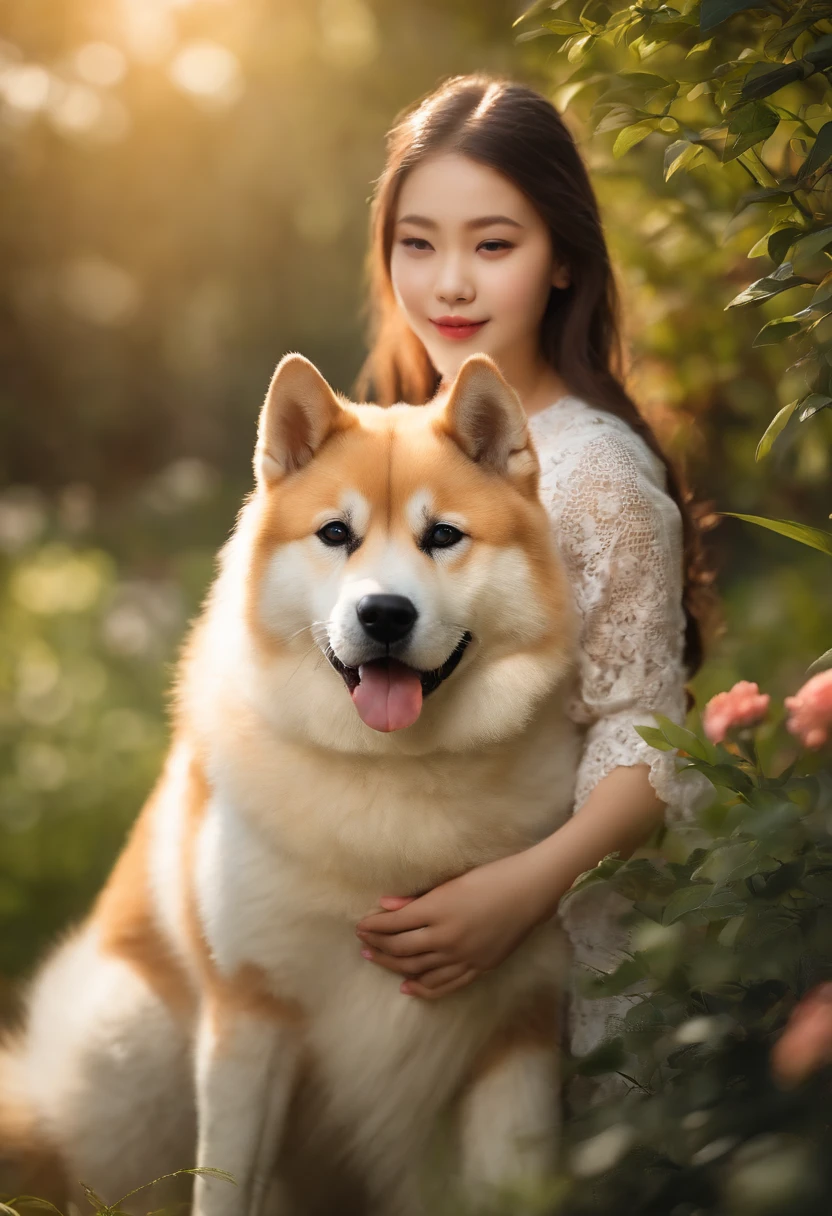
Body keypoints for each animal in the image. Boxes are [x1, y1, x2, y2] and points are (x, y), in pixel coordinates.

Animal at [0, 355, 581, 1216]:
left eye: (442, 536)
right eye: (335, 534)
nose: (383, 613)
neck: (393, 779)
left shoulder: (520, 1029)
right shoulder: (251, 1017)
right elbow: (223, 1189)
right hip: (132, 1041)